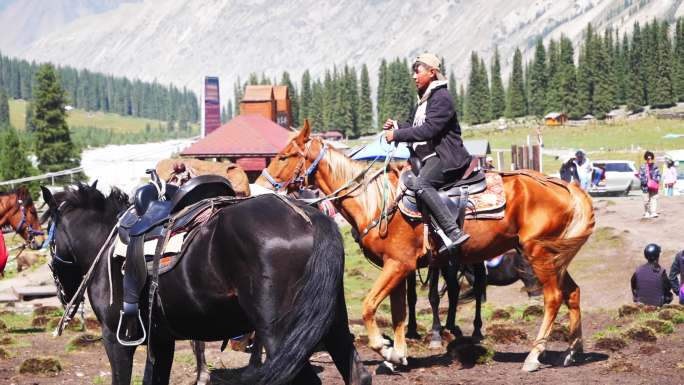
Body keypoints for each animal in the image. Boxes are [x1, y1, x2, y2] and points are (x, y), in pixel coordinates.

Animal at [40, 184, 372, 384]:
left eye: (49, 240)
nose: (64, 295)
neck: (108, 244)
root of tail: (308, 217)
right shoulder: (161, 340)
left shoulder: (115, 339)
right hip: (332, 322)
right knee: (357, 373)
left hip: (280, 333)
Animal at [256, 121, 592, 370]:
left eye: (284, 156)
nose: (259, 187)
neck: (376, 201)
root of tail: (564, 186)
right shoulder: (398, 268)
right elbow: (398, 312)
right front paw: (397, 355)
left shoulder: (398, 265)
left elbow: (369, 306)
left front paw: (384, 349)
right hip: (551, 257)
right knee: (573, 293)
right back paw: (572, 352)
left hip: (538, 255)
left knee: (553, 298)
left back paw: (534, 357)